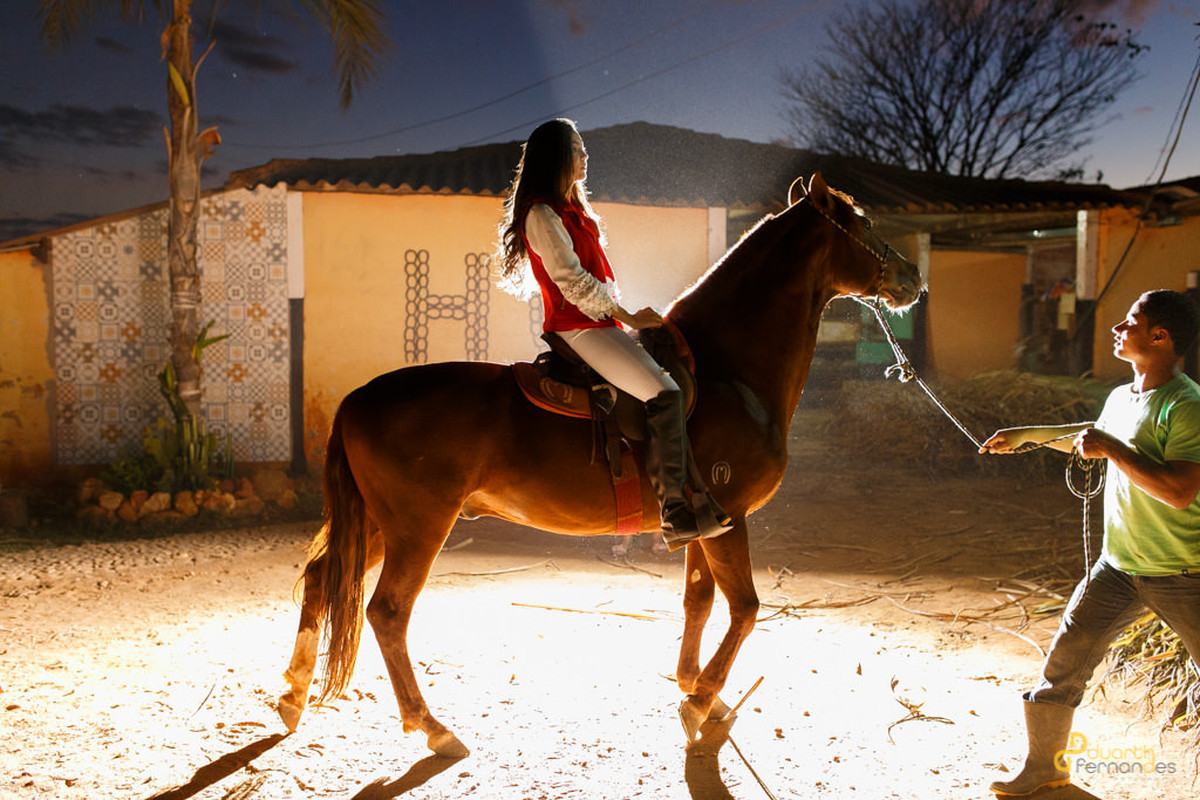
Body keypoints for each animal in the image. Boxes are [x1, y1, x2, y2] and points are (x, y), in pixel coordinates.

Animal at [277, 172, 924, 759]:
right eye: (864, 221)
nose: (913, 279)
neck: (728, 372)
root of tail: (359, 397)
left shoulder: (704, 521)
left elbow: (698, 601)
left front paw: (694, 686)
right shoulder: (732, 517)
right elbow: (744, 608)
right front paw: (701, 697)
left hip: (379, 524)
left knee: (320, 578)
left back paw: (293, 695)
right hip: (417, 527)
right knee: (387, 611)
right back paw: (430, 726)